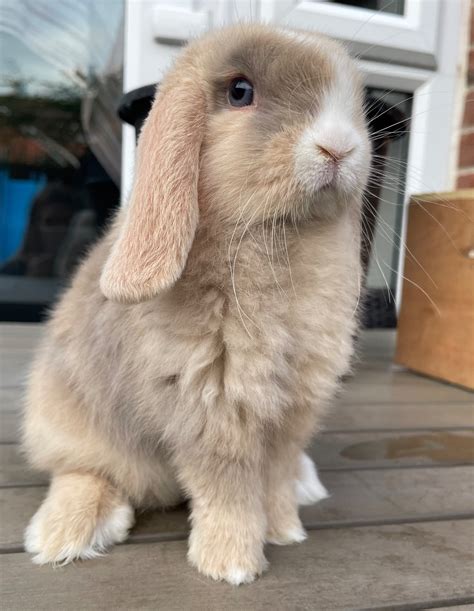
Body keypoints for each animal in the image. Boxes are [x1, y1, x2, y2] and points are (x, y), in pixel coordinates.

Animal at [21, 23, 370, 584]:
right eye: (240, 92)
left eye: (356, 101)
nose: (339, 146)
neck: (278, 239)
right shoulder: (214, 409)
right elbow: (230, 490)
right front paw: (232, 566)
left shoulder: (295, 409)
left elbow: (274, 478)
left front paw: (285, 530)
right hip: (69, 422)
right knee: (85, 472)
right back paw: (64, 536)